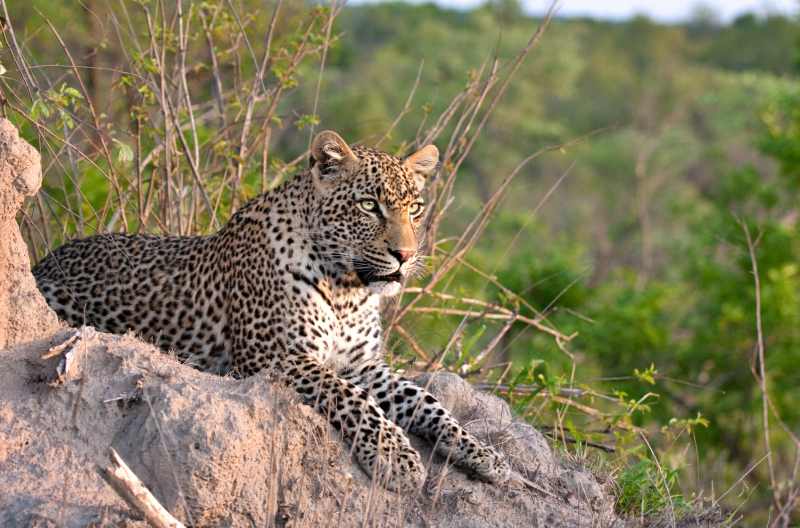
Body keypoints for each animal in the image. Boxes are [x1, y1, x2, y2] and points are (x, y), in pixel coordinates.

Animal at [33, 130, 512, 492]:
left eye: (414, 208)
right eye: (368, 206)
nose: (405, 255)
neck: (348, 290)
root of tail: (44, 260)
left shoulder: (365, 366)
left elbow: (428, 401)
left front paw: (484, 455)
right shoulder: (276, 357)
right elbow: (352, 398)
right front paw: (396, 457)